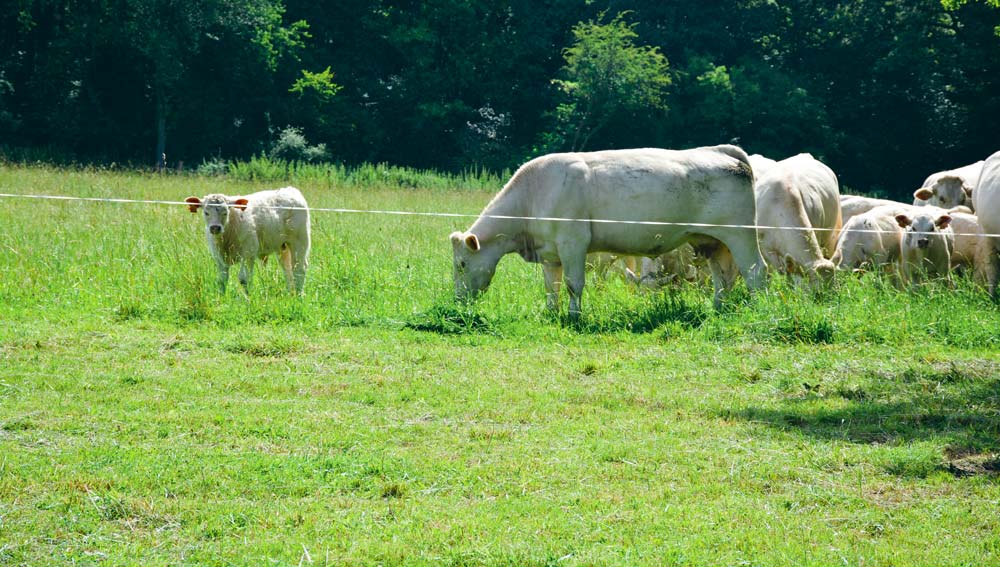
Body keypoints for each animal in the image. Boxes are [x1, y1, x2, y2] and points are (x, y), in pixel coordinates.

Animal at [450, 144, 768, 318]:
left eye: (462, 264)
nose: (457, 302)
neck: (533, 194)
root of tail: (722, 151)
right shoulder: (551, 252)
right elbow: (551, 288)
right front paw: (551, 314)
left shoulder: (573, 242)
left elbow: (573, 284)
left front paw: (574, 317)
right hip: (712, 241)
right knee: (723, 278)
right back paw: (718, 309)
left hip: (740, 234)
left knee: (755, 272)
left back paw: (759, 309)